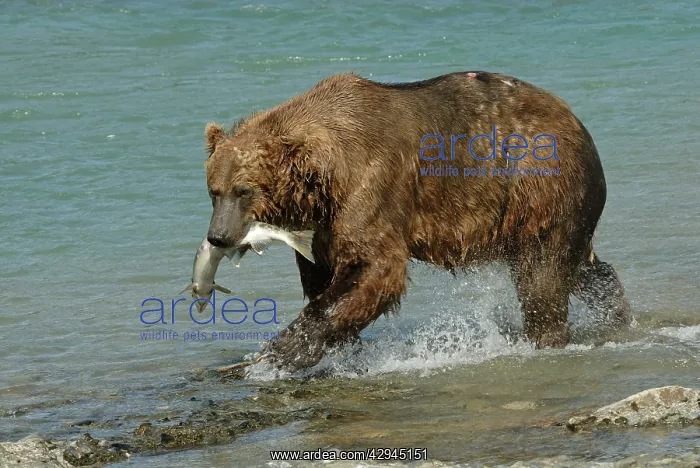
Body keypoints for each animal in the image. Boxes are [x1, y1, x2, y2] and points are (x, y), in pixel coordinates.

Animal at [203, 71, 631, 372]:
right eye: (213, 190)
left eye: (244, 190)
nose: (218, 236)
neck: (322, 180)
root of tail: (575, 120)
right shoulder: (323, 224)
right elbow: (323, 274)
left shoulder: (371, 184)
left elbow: (375, 267)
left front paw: (282, 351)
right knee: (574, 264)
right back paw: (615, 311)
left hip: (538, 181)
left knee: (541, 273)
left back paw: (546, 338)